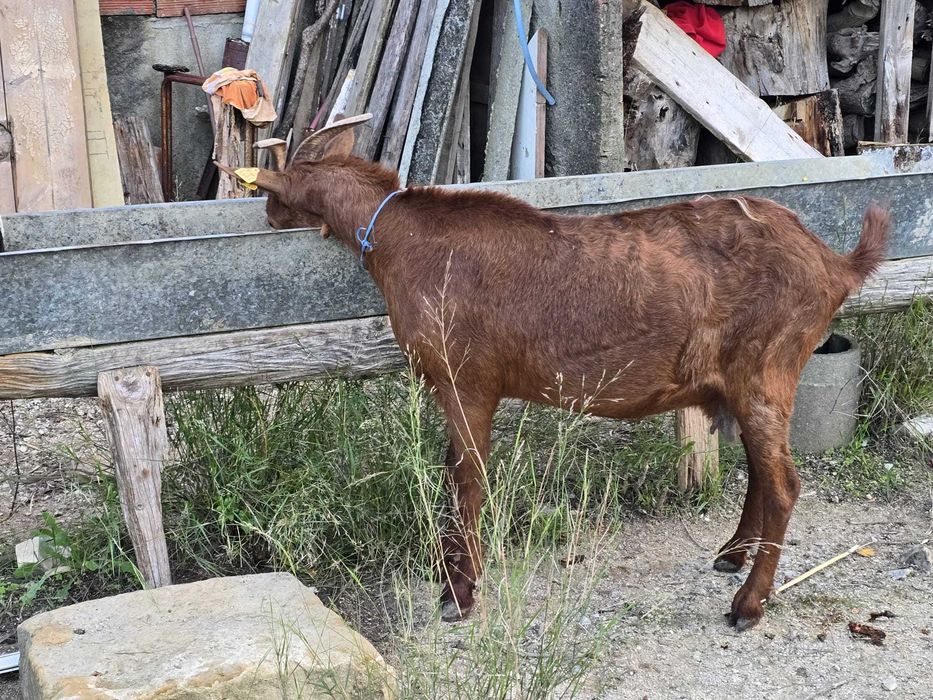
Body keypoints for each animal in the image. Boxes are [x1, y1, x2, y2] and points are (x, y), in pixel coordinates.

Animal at [216, 114, 890, 631]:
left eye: (274, 194)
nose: (267, 217)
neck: (397, 240)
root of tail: (836, 265)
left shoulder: (467, 379)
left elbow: (468, 481)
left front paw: (459, 596)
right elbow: (454, 475)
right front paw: (446, 576)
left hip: (767, 367)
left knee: (784, 484)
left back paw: (747, 605)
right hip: (744, 381)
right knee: (761, 473)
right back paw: (730, 556)